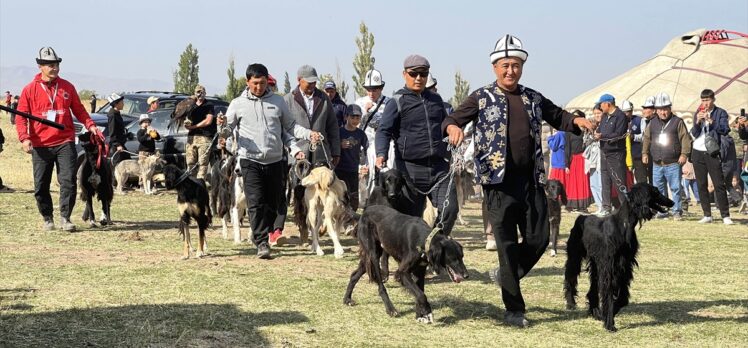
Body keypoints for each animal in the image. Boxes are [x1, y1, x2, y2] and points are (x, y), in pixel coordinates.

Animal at [564, 182, 676, 332]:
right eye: (656, 191)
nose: (672, 202)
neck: (624, 224)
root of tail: (582, 217)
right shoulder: (610, 266)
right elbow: (609, 294)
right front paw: (609, 322)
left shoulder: (625, 264)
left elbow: (623, 298)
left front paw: (610, 312)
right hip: (575, 256)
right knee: (570, 277)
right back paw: (570, 303)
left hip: (596, 263)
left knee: (593, 287)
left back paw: (596, 312)